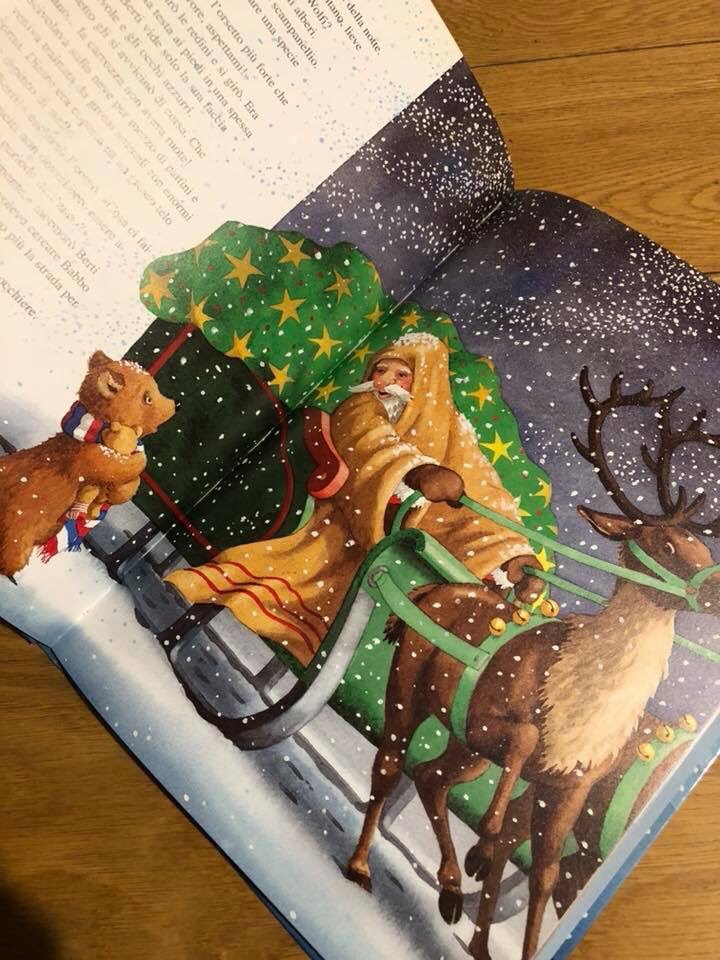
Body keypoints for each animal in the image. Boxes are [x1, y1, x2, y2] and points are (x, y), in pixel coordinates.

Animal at [346, 368, 720, 960]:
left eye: (701, 545)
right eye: (664, 542)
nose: (715, 590)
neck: (578, 712)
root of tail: (435, 589)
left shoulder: (568, 791)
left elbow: (543, 877)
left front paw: (479, 872)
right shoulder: (493, 725)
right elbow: (521, 743)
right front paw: (480, 848)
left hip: (467, 749)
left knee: (430, 776)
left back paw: (449, 890)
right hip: (410, 684)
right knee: (390, 763)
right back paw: (363, 866)